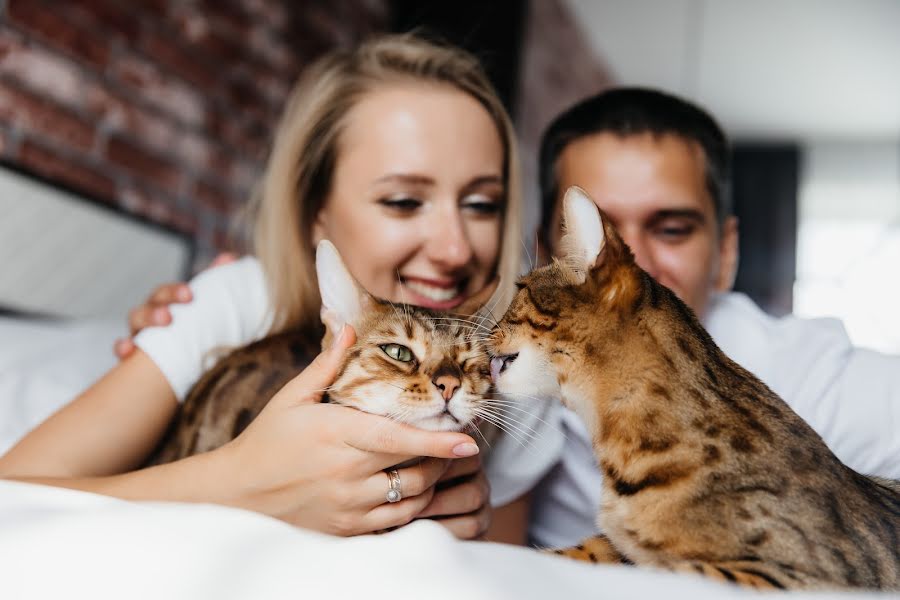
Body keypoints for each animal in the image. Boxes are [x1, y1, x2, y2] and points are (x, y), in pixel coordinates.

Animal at [492, 188, 900, 592]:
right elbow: (561, 554)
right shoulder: (610, 545)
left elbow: (669, 568)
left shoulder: (807, 578)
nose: (489, 327)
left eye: (519, 289)